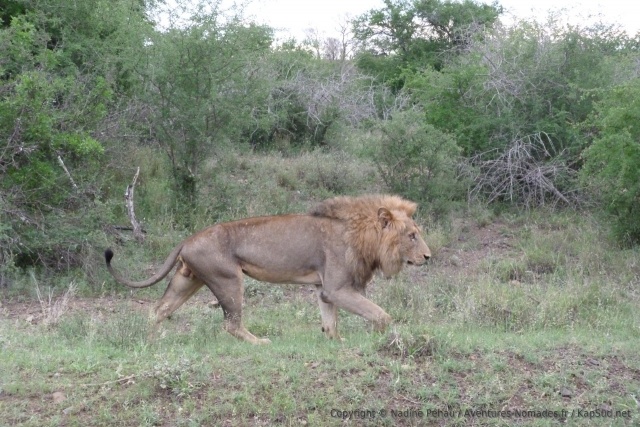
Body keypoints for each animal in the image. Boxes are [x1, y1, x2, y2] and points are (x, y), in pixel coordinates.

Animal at [105, 194, 431, 344]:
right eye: (412, 235)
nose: (428, 256)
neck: (363, 234)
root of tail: (187, 239)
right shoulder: (337, 288)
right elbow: (381, 314)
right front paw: (381, 336)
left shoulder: (323, 290)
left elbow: (330, 323)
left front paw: (336, 342)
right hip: (228, 279)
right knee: (231, 324)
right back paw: (259, 342)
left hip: (188, 280)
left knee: (157, 310)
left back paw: (152, 341)